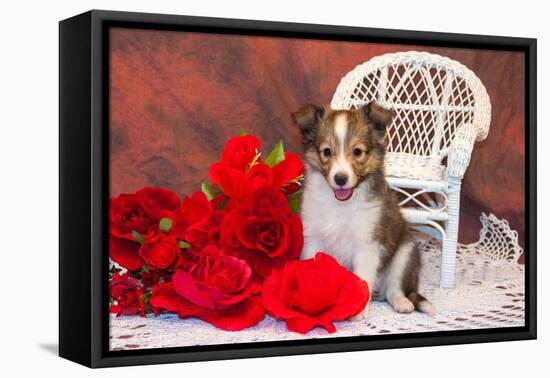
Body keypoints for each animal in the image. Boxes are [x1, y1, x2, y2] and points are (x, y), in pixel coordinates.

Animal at [294, 101, 436, 318]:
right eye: (326, 152)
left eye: (358, 152)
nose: (340, 179)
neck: (341, 204)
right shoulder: (313, 239)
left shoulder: (367, 244)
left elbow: (361, 278)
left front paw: (357, 310)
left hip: (405, 253)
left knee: (393, 289)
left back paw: (402, 302)